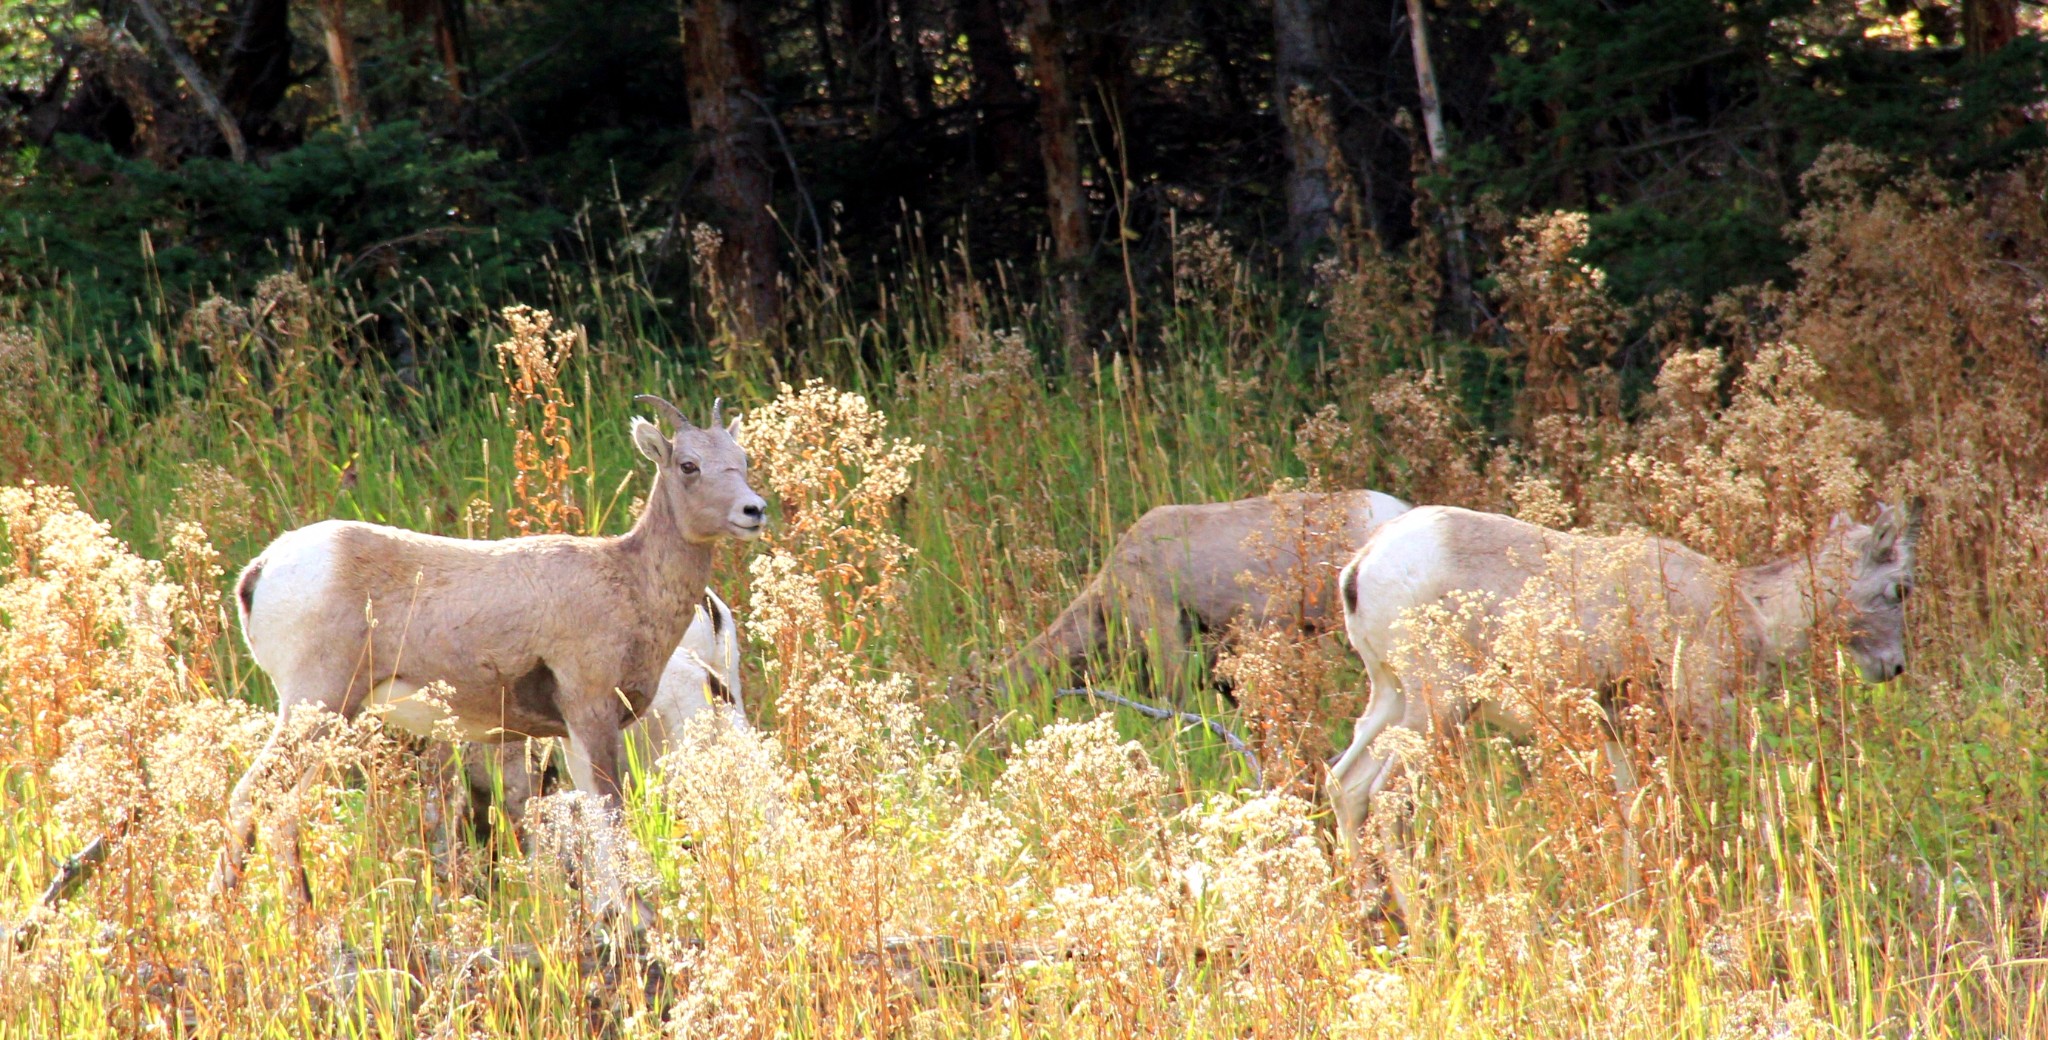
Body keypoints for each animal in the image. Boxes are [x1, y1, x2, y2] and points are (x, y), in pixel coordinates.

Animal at [222, 393, 770, 913]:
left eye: (740, 459)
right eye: (688, 465)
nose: (753, 510)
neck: (629, 582)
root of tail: (261, 571)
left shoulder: (568, 735)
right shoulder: (591, 716)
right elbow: (609, 817)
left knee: (279, 811)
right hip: (315, 707)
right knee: (252, 798)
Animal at [1327, 503, 1916, 884]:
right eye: (1900, 589)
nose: (1893, 668)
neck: (1754, 610)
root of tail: (1360, 567)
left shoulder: (1618, 730)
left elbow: (1633, 814)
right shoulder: (1707, 709)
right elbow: (1771, 785)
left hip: (1391, 697)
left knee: (1345, 785)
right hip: (1441, 704)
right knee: (1384, 797)